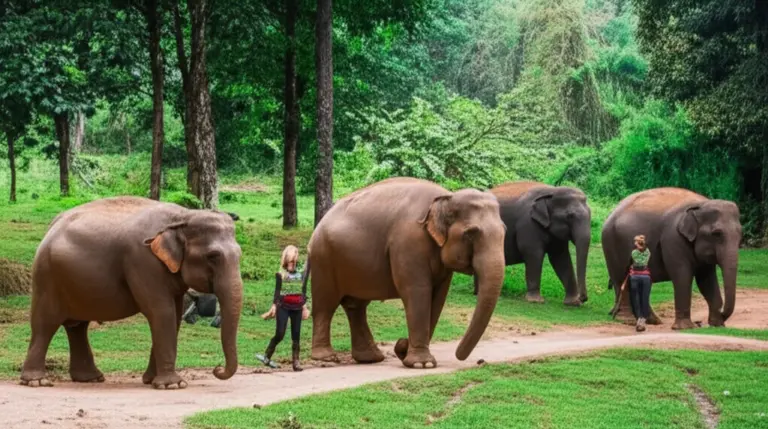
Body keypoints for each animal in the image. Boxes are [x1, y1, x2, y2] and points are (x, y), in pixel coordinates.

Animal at [19, 196, 243, 389]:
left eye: (240, 254)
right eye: (212, 256)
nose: (217, 369)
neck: (182, 216)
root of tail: (52, 226)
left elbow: (175, 315)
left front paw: (152, 380)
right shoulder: (142, 261)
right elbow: (162, 312)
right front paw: (173, 385)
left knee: (77, 327)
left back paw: (90, 378)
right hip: (46, 277)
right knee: (45, 323)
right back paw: (37, 381)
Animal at [306, 177, 506, 368]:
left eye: (505, 232)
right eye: (471, 233)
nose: (400, 344)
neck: (447, 197)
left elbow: (438, 297)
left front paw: (407, 354)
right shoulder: (409, 242)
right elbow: (418, 291)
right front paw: (421, 364)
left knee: (356, 306)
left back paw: (370, 358)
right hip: (323, 259)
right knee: (325, 304)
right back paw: (327, 358)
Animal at [602, 187, 741, 330]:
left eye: (740, 233)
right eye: (716, 234)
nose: (722, 313)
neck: (701, 205)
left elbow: (706, 280)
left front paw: (717, 325)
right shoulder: (673, 238)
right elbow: (682, 276)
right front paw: (685, 327)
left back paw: (652, 320)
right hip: (611, 245)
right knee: (621, 279)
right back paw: (627, 320)